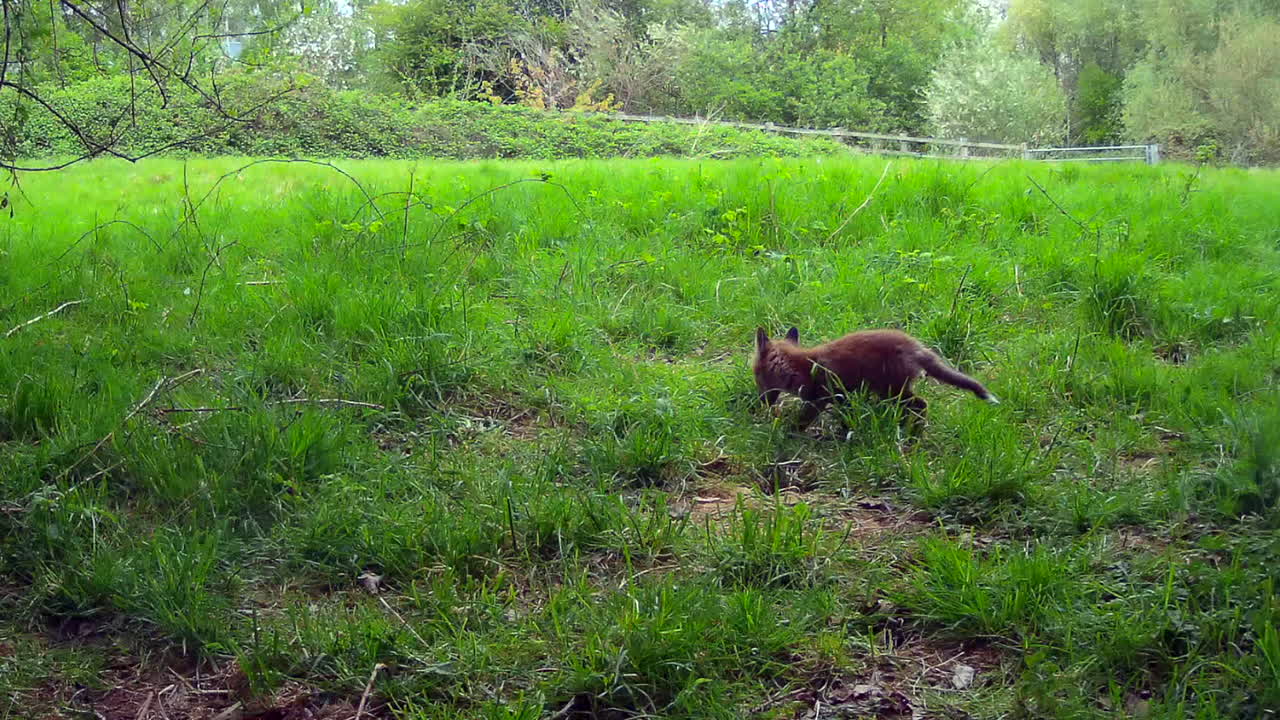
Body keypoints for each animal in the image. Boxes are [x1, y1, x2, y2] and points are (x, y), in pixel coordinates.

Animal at [752, 326, 998, 431]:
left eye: (757, 376)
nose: (760, 403)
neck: (799, 366)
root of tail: (916, 347)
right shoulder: (844, 398)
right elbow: (847, 418)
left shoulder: (823, 397)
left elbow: (803, 420)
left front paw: (789, 432)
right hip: (891, 392)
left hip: (892, 391)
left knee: (921, 404)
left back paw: (914, 433)